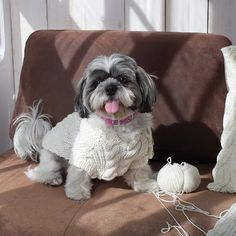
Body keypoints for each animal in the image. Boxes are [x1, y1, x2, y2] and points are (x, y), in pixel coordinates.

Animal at [13, 53, 159, 199]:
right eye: (97, 82)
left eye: (122, 79)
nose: (110, 88)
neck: (115, 122)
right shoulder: (82, 155)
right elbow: (78, 174)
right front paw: (77, 192)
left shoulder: (139, 156)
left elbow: (139, 171)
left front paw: (145, 184)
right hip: (52, 159)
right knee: (38, 172)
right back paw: (51, 178)